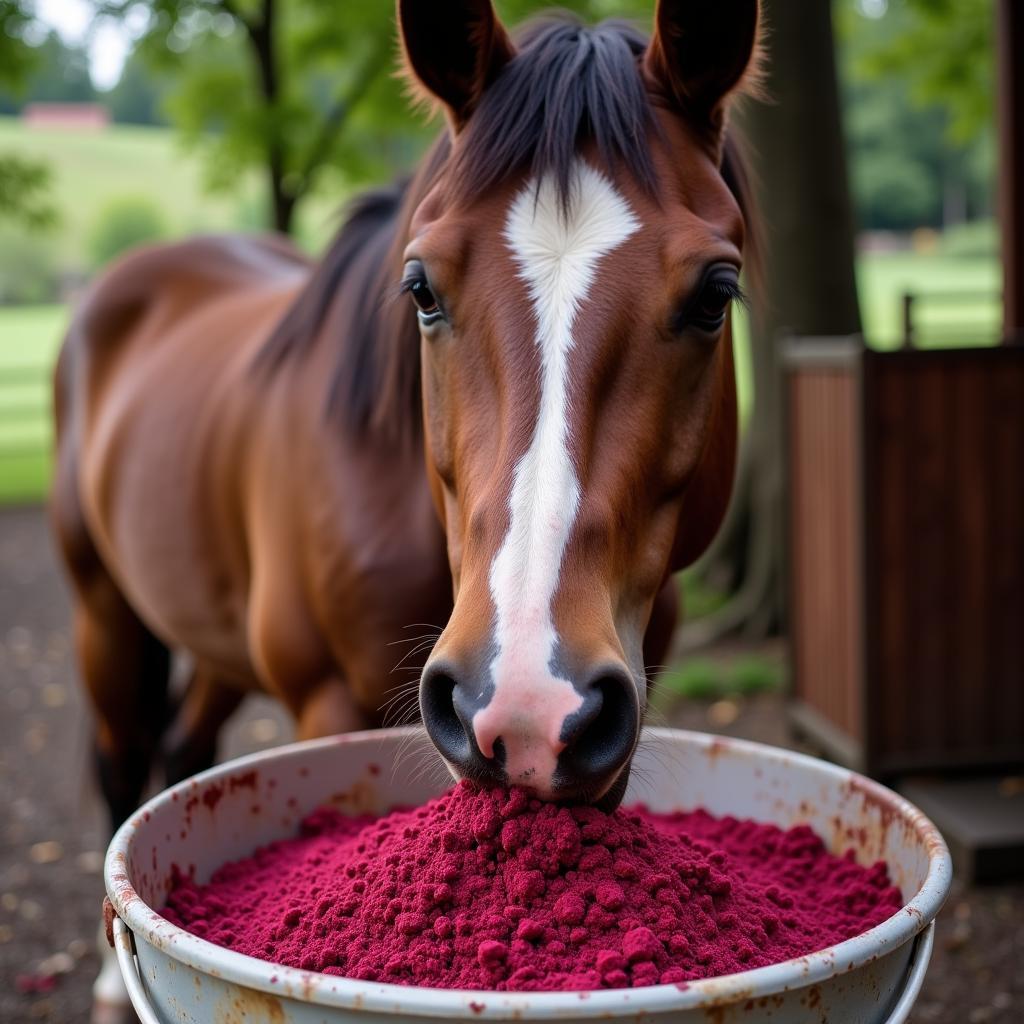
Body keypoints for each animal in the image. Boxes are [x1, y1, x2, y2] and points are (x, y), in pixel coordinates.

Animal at [56, 0, 761, 839]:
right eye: (422, 289)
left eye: (715, 295)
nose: (525, 701)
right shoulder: (326, 703)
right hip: (104, 613)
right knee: (121, 761)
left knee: (182, 747)